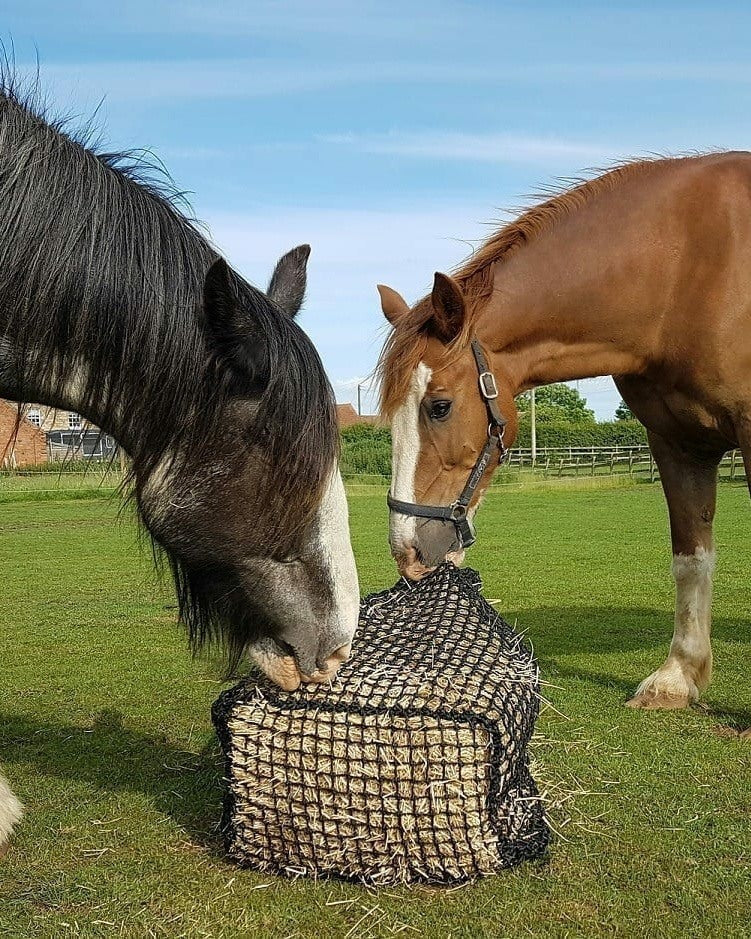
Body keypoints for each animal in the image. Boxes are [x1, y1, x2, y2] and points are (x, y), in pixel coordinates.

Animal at [378, 152, 751, 712]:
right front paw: (676, 678)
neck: (687, 271)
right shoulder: (676, 443)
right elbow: (691, 558)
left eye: (439, 407)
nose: (406, 553)